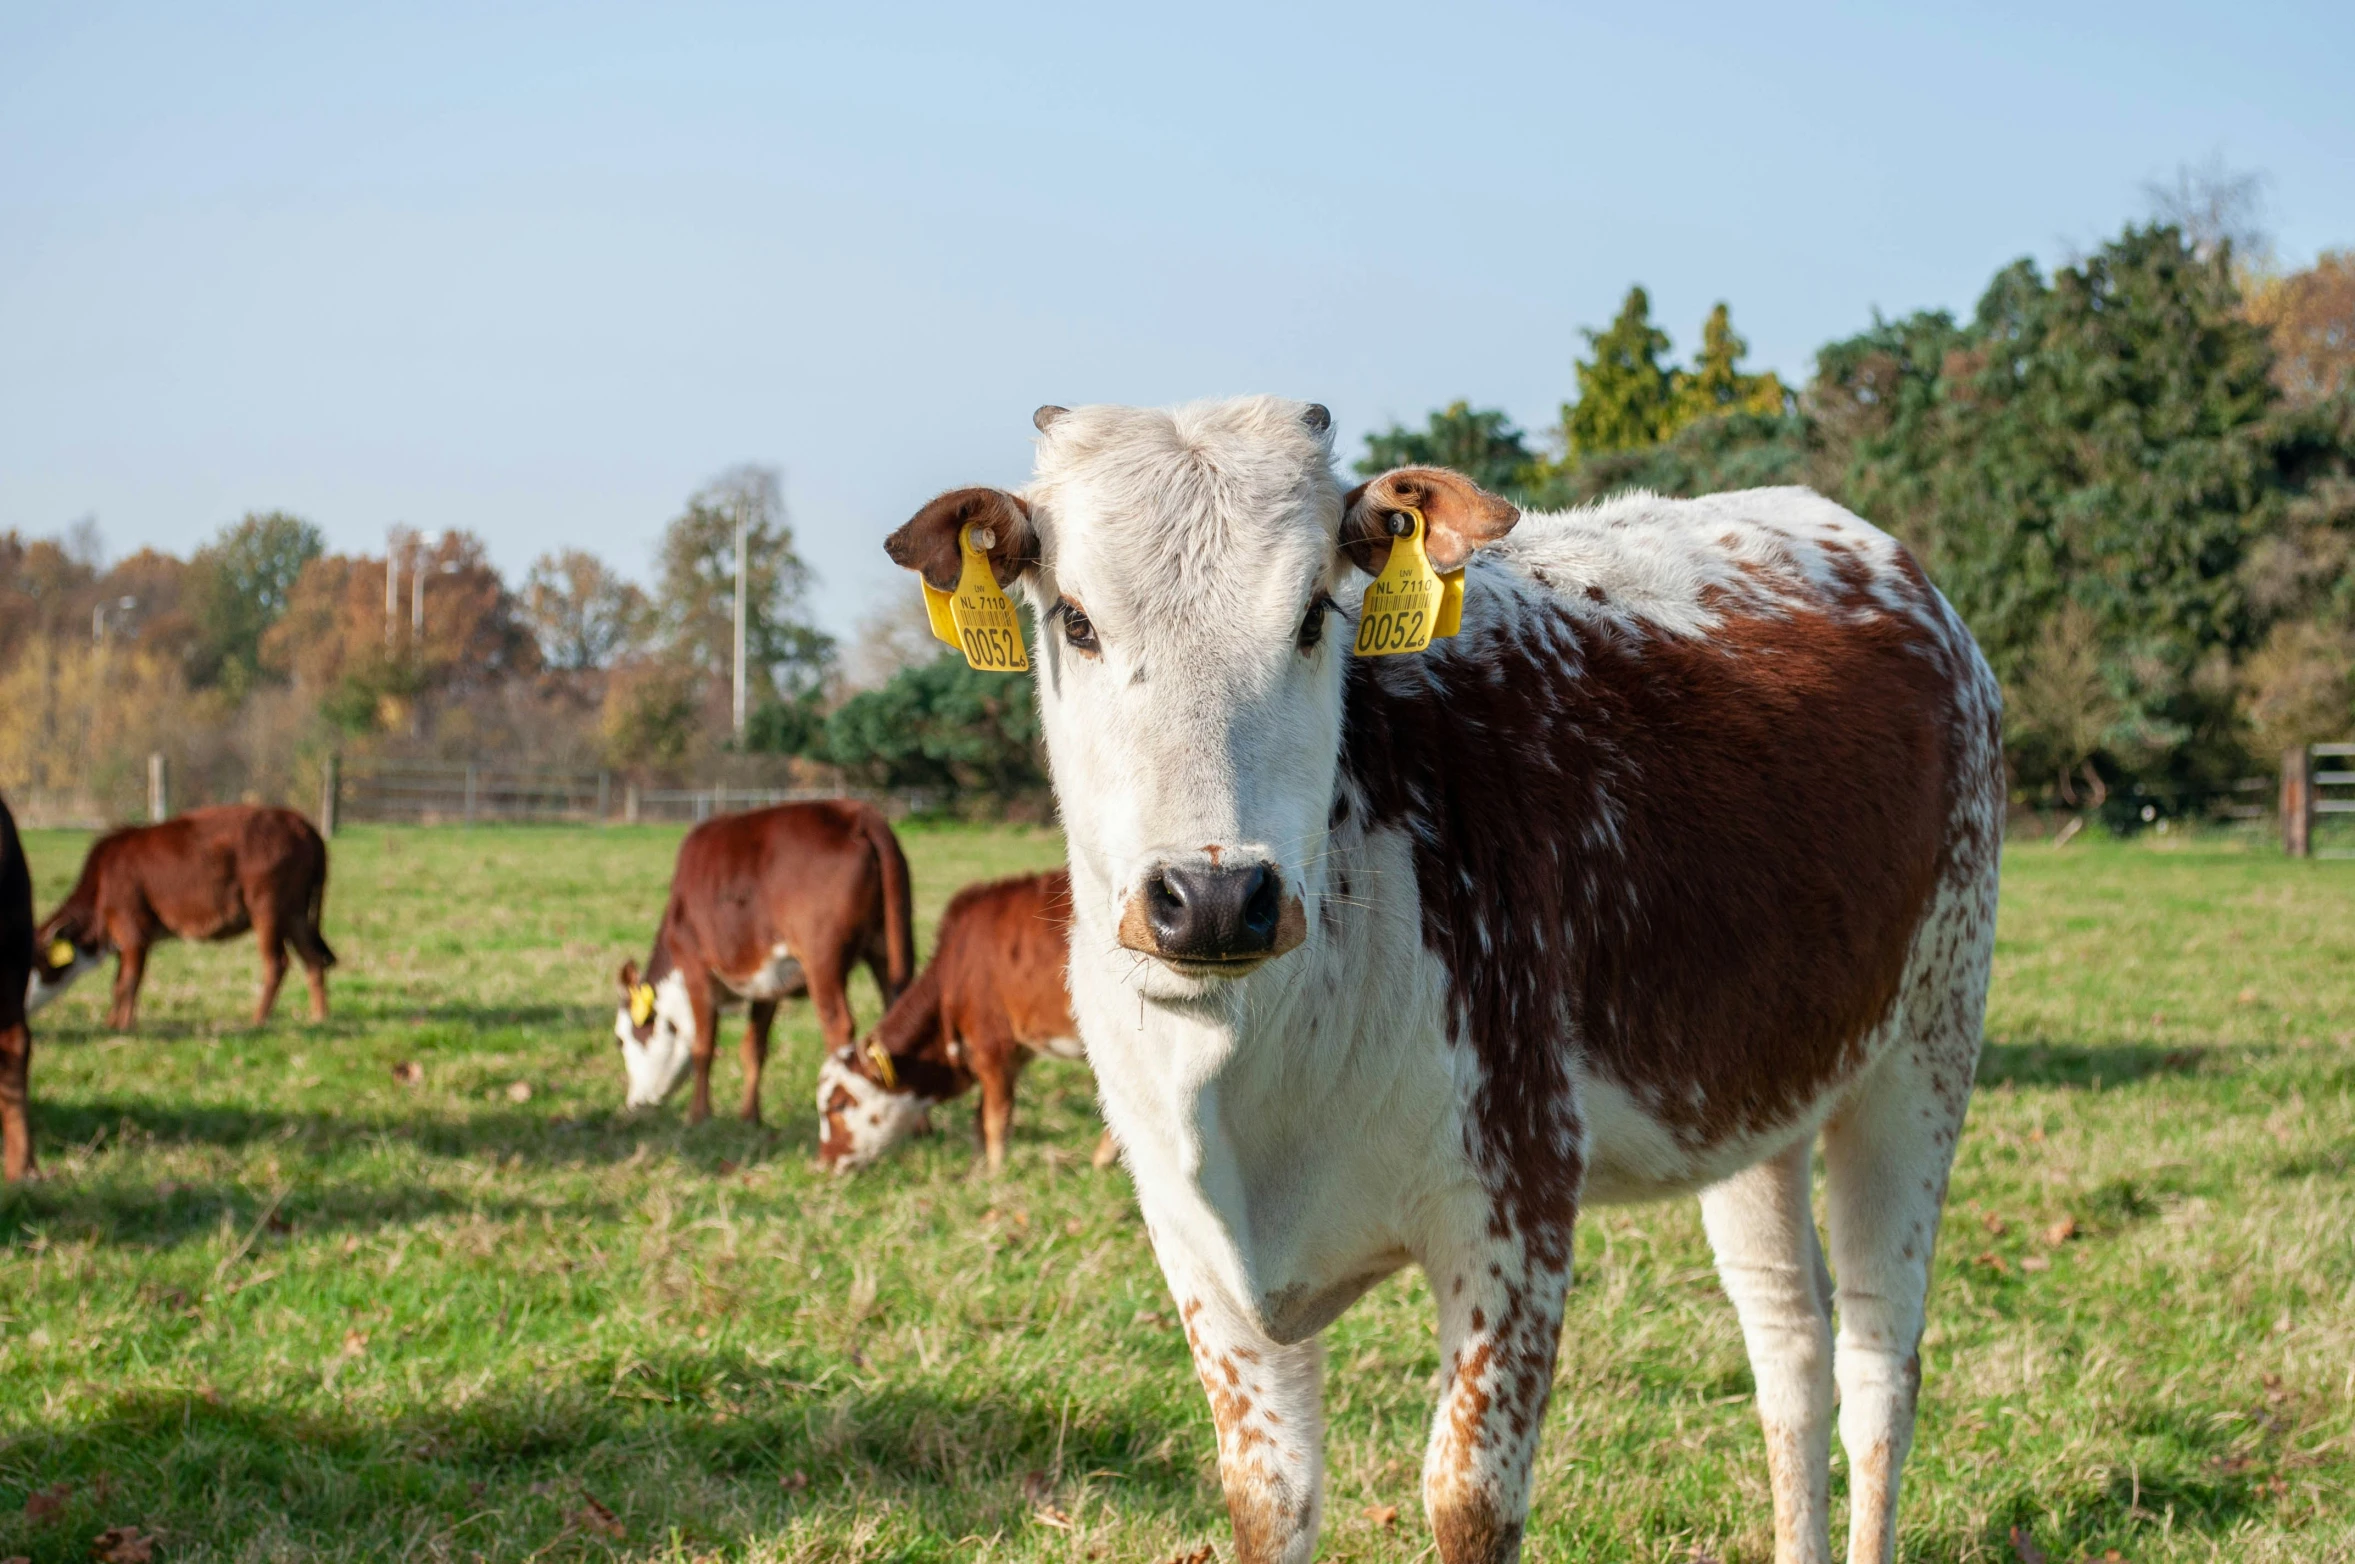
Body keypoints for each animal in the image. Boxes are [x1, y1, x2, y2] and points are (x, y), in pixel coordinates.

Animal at [31, 800, 336, 1031]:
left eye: (34, 963)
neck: (102, 883)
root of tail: (303, 825)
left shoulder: (132, 929)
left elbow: (128, 982)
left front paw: (123, 1026)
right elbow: (118, 981)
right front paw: (111, 1023)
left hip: (268, 906)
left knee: (277, 963)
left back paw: (258, 1019)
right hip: (296, 911)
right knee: (312, 958)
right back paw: (319, 1016)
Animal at [612, 805, 913, 1125]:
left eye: (621, 1039)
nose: (634, 1104)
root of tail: (854, 815)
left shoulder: (696, 966)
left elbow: (703, 1046)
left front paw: (698, 1115)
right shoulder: (767, 980)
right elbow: (753, 1047)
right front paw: (749, 1116)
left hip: (822, 961)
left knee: (839, 1026)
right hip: (888, 947)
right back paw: (919, 1124)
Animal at [814, 866, 1078, 1173]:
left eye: (839, 1106)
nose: (823, 1163)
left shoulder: (992, 1045)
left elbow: (996, 1118)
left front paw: (995, 1172)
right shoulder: (1014, 1051)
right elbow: (980, 1118)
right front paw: (977, 1167)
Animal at [885, 400, 2006, 1564]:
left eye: (1313, 616)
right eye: (1076, 621)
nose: (1213, 896)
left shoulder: (1516, 1199)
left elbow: (1468, 1501)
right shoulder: (1196, 1248)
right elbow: (1267, 1499)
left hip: (1925, 1049)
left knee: (1879, 1352)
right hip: (1753, 1088)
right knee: (1789, 1339)